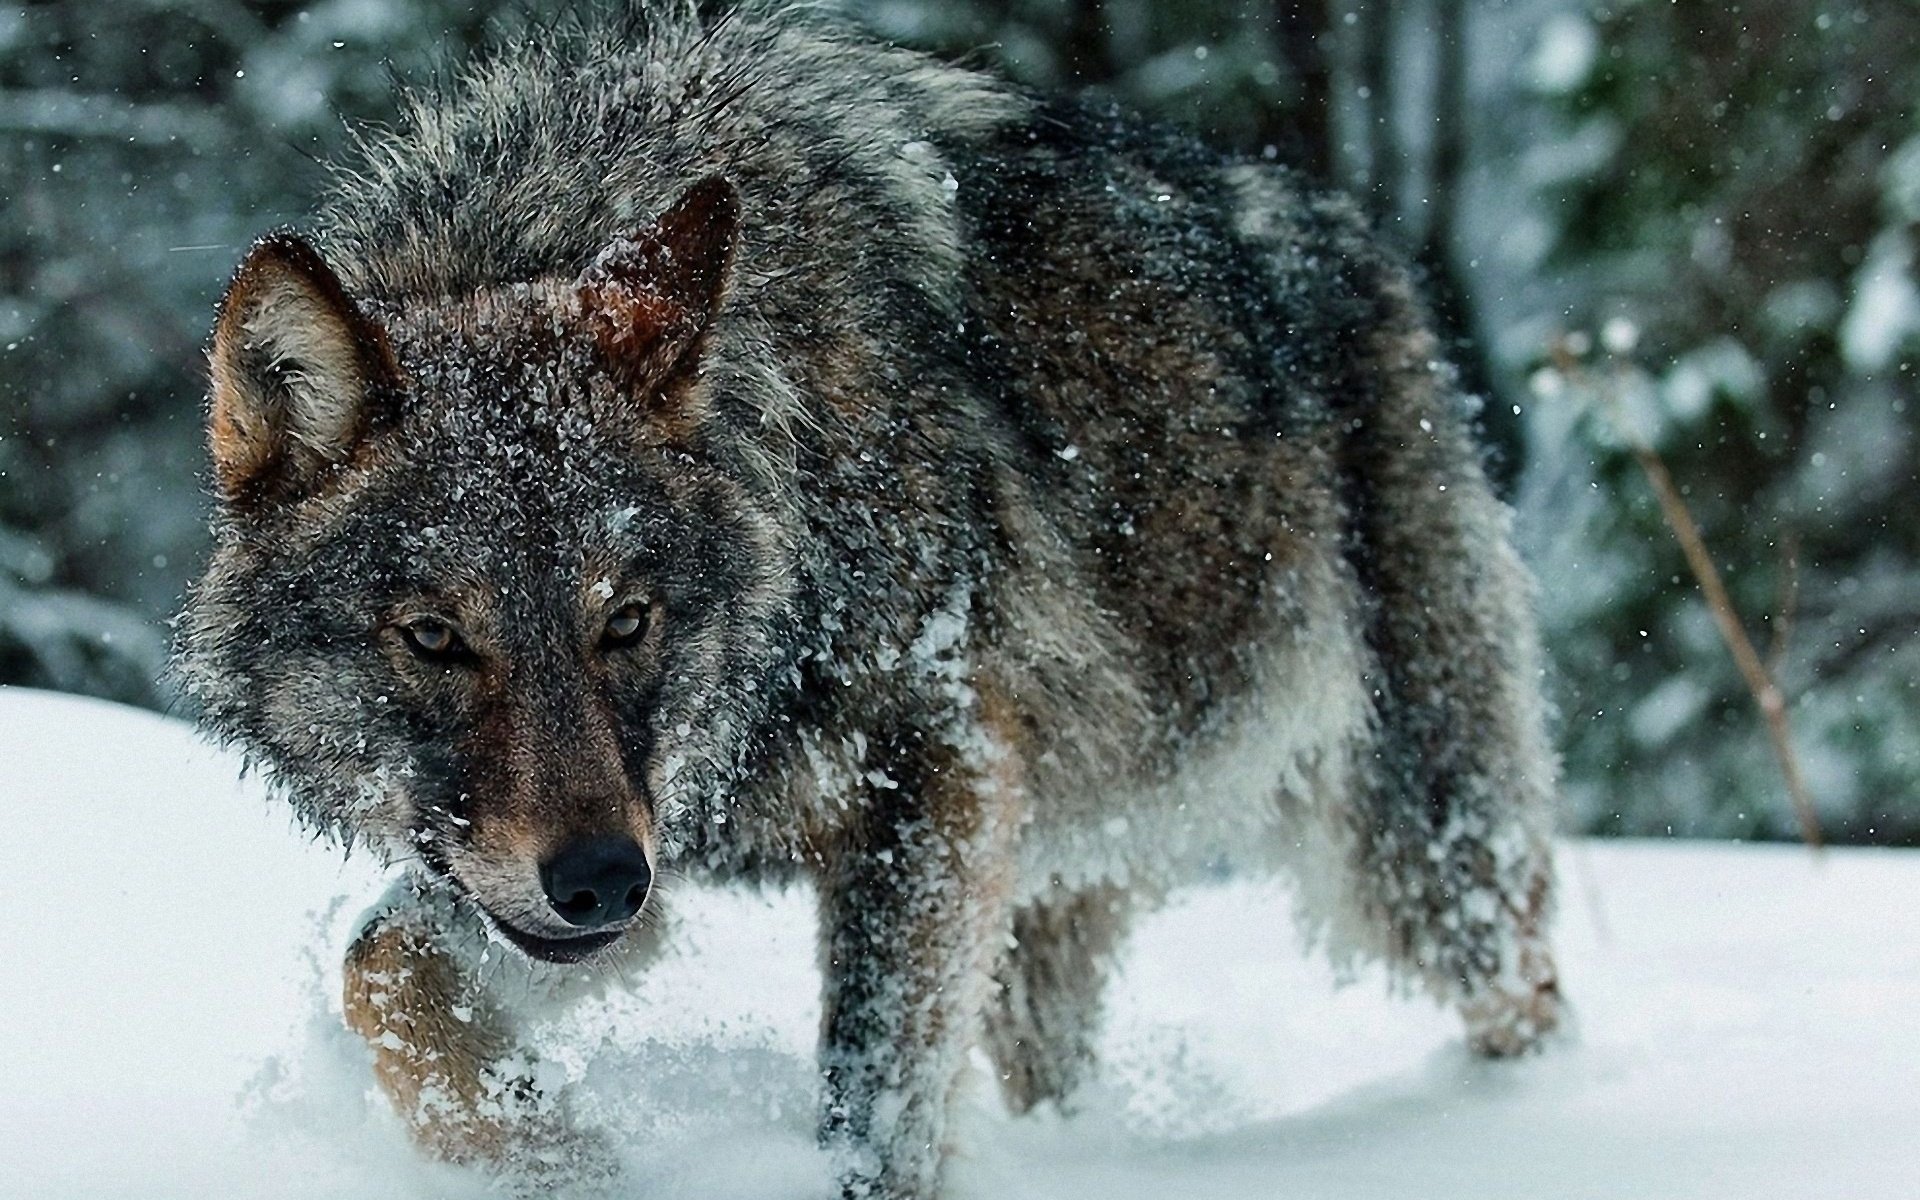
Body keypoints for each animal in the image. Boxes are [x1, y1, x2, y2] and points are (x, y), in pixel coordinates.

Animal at [177, 5, 1563, 1196]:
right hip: (1042, 915)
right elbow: (381, 968)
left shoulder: (926, 772)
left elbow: (872, 1108)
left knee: (1528, 989)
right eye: (434, 638)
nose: (602, 887)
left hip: (1419, 852)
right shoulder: (626, 847)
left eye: (625, 621)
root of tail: (1361, 238)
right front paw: (547, 1156)